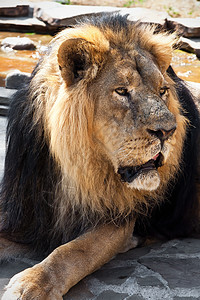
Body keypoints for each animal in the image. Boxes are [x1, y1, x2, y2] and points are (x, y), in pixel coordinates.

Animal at [0, 14, 200, 300]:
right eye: (122, 91)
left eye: (162, 91)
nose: (168, 131)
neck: (77, 170)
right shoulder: (23, 214)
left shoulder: (120, 221)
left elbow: (73, 251)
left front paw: (32, 285)